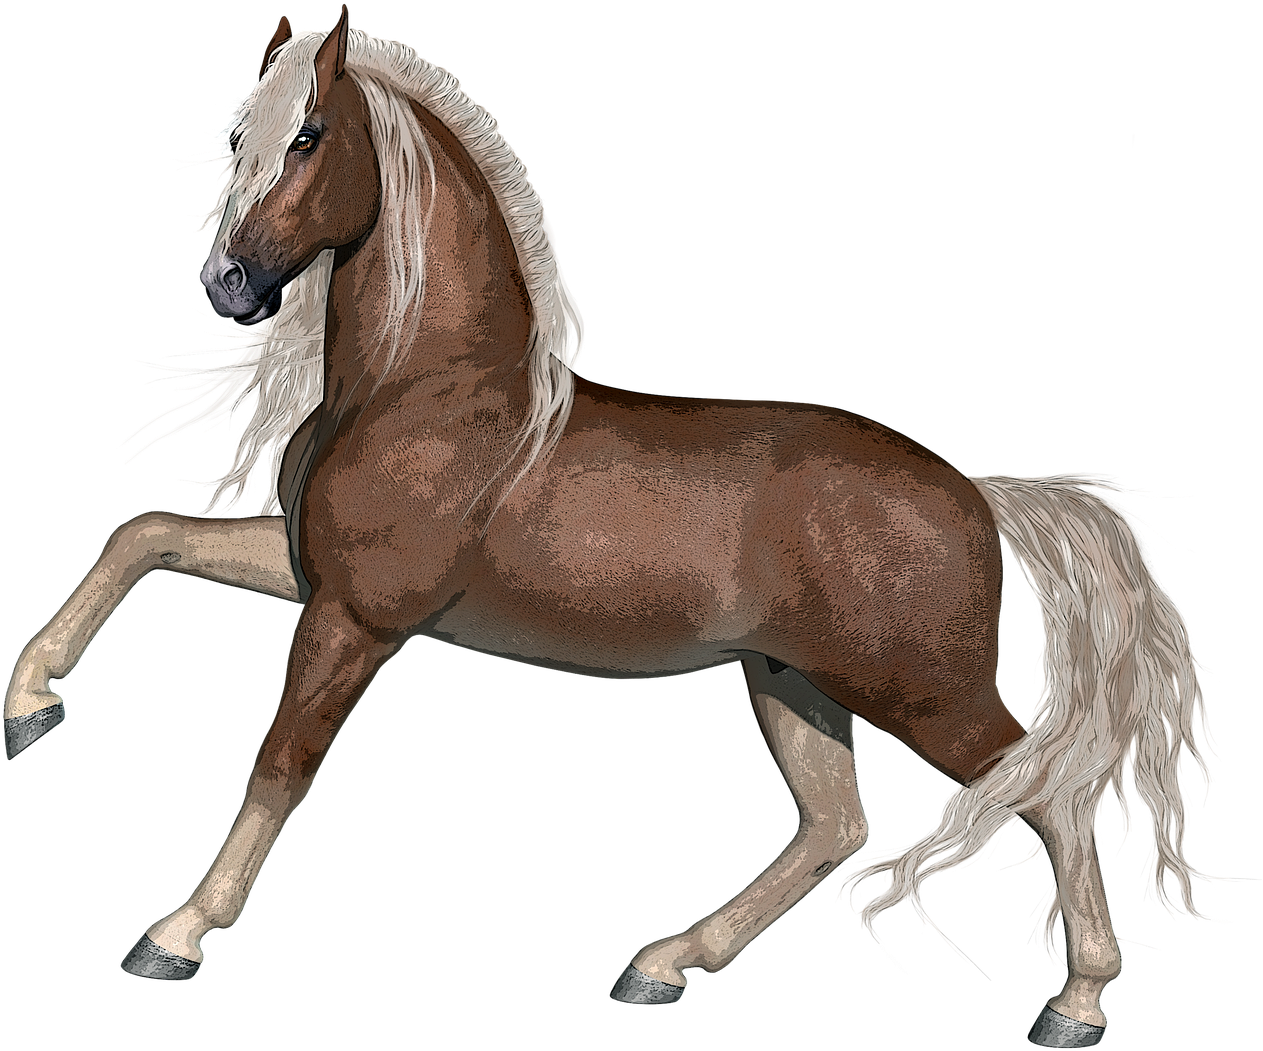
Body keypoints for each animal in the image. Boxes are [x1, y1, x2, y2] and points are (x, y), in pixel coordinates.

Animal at [3, 9, 1241, 1043]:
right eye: (239, 142)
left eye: (308, 135)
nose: (226, 285)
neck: (426, 387)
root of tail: (979, 491)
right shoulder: (313, 579)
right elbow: (141, 537)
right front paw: (31, 706)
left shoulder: (357, 622)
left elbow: (280, 764)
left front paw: (175, 931)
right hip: (794, 682)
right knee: (836, 828)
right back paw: (663, 963)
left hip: (922, 692)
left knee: (1050, 783)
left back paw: (1076, 1002)